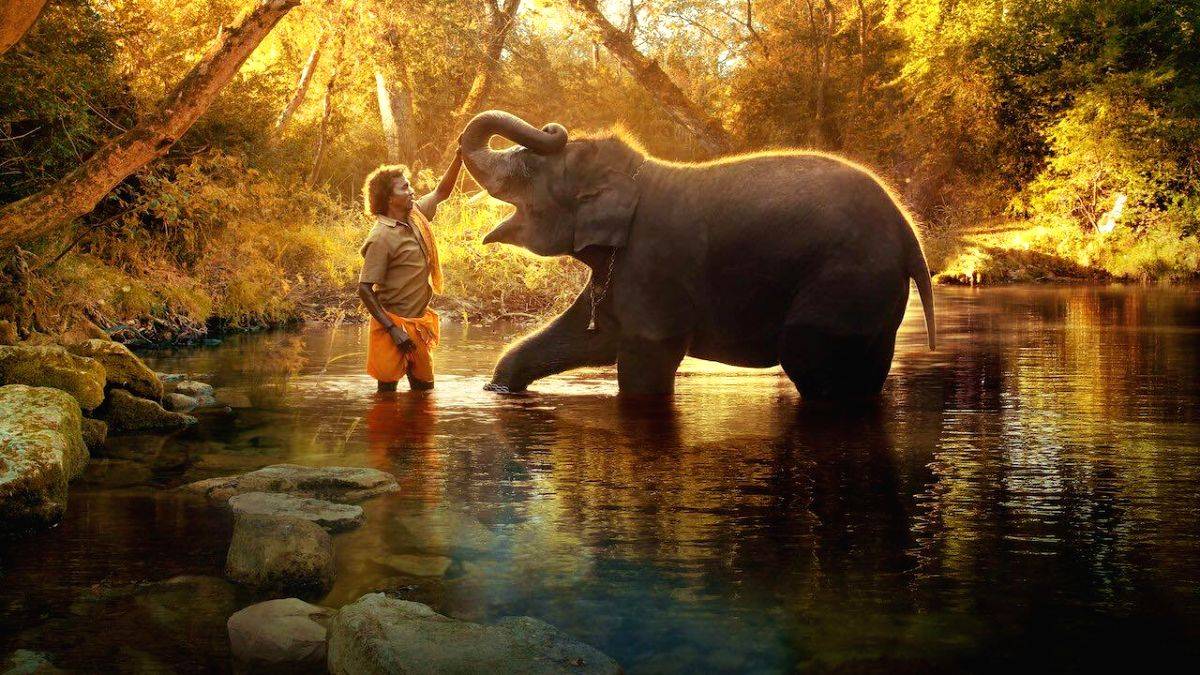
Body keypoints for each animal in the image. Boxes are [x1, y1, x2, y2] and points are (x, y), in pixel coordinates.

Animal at [458, 110, 935, 399]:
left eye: (529, 170)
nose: (553, 127)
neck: (637, 175)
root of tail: (909, 234)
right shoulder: (623, 269)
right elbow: (589, 337)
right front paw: (499, 389)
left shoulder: (652, 264)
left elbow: (645, 361)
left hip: (847, 281)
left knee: (810, 360)